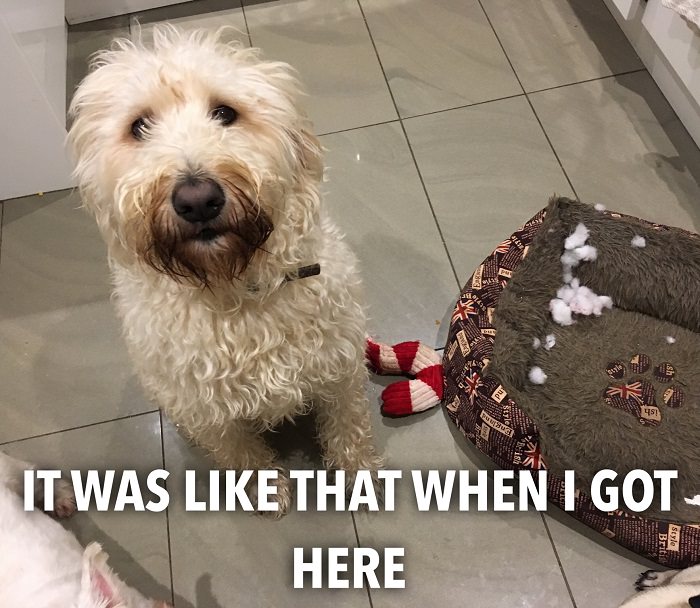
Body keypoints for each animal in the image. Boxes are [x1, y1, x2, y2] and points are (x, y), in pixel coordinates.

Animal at [68, 27, 380, 512]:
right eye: (139, 126)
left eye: (225, 112)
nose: (197, 199)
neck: (238, 290)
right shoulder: (207, 413)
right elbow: (240, 453)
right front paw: (264, 488)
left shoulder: (341, 369)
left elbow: (349, 425)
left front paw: (358, 473)